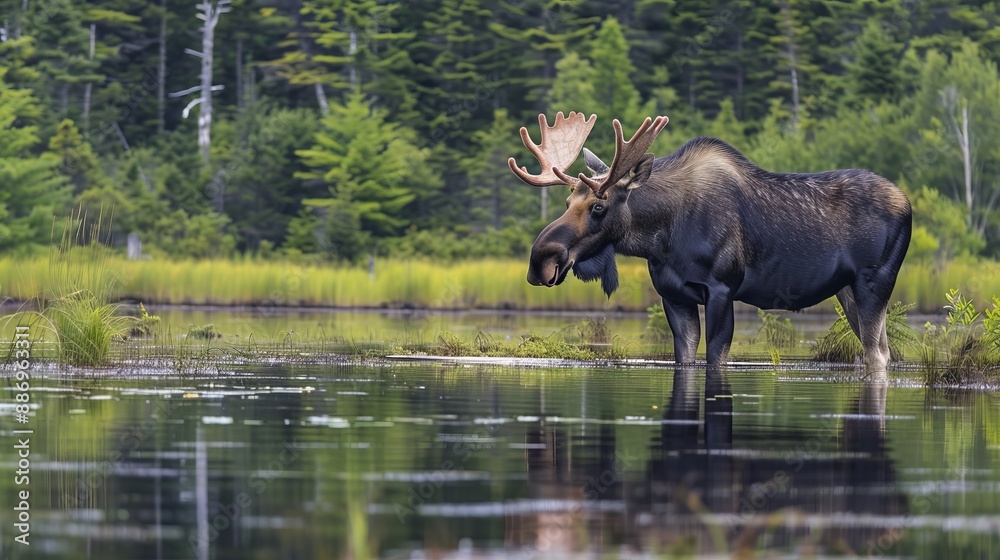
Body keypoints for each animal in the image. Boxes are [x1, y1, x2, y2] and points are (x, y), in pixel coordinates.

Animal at [508, 112, 911, 372]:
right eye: (566, 203)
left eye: (598, 206)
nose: (541, 259)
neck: (661, 239)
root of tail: (908, 204)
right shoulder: (674, 296)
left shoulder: (721, 288)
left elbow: (716, 359)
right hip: (846, 290)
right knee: (881, 349)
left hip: (875, 282)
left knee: (878, 353)